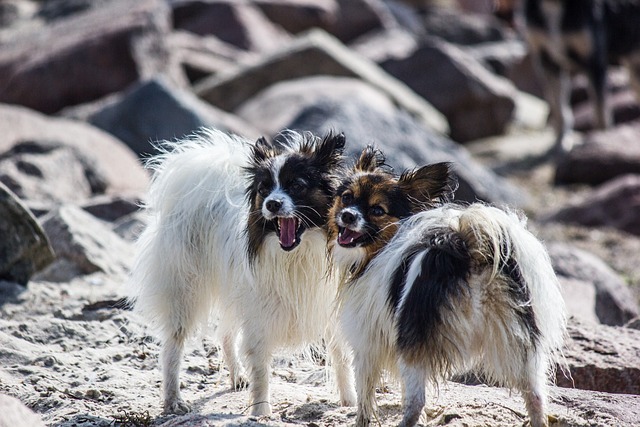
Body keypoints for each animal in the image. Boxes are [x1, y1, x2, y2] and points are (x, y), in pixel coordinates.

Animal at [330, 148, 564, 427]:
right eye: (346, 197)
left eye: (377, 210)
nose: (348, 215)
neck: (377, 251)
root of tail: (471, 254)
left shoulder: (366, 345)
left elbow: (364, 401)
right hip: (520, 347)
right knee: (536, 397)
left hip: (414, 348)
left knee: (416, 403)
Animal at [520, 0, 640, 154]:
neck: (554, 4)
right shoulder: (546, 62)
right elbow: (558, 108)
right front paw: (561, 143)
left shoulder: (594, 61)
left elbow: (600, 113)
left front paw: (602, 141)